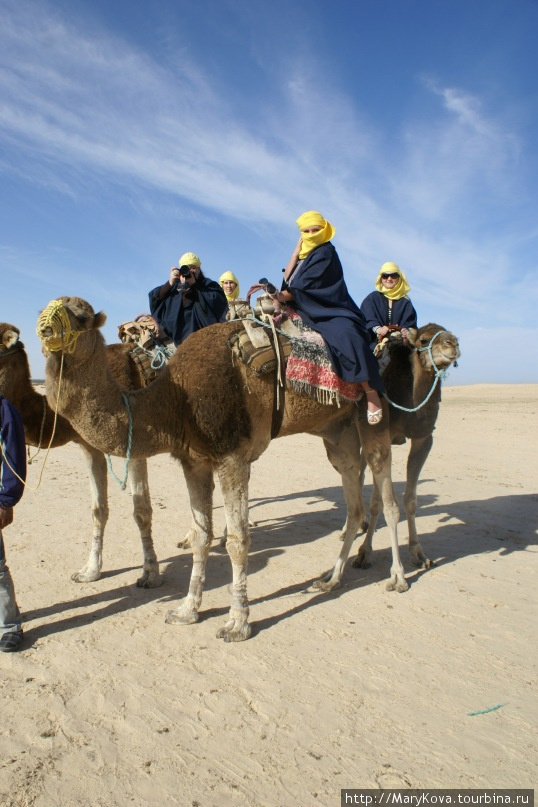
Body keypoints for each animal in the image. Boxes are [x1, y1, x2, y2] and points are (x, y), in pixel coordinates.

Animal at [0, 322, 161, 588]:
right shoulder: (89, 447)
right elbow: (98, 510)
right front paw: (89, 571)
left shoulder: (135, 444)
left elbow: (141, 511)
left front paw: (150, 574)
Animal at [37, 296, 404, 644]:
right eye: (49, 306)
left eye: (81, 316)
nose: (43, 327)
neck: (174, 400)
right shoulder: (194, 461)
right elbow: (202, 536)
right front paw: (186, 610)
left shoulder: (232, 457)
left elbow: (238, 541)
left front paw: (237, 623)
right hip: (336, 430)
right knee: (353, 497)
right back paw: (330, 580)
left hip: (372, 415)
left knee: (386, 493)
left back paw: (397, 577)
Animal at [352, 322, 460, 576]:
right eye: (424, 340)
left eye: (454, 337)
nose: (452, 344)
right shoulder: (382, 435)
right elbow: (377, 502)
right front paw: (364, 553)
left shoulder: (424, 438)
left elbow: (410, 499)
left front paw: (419, 554)